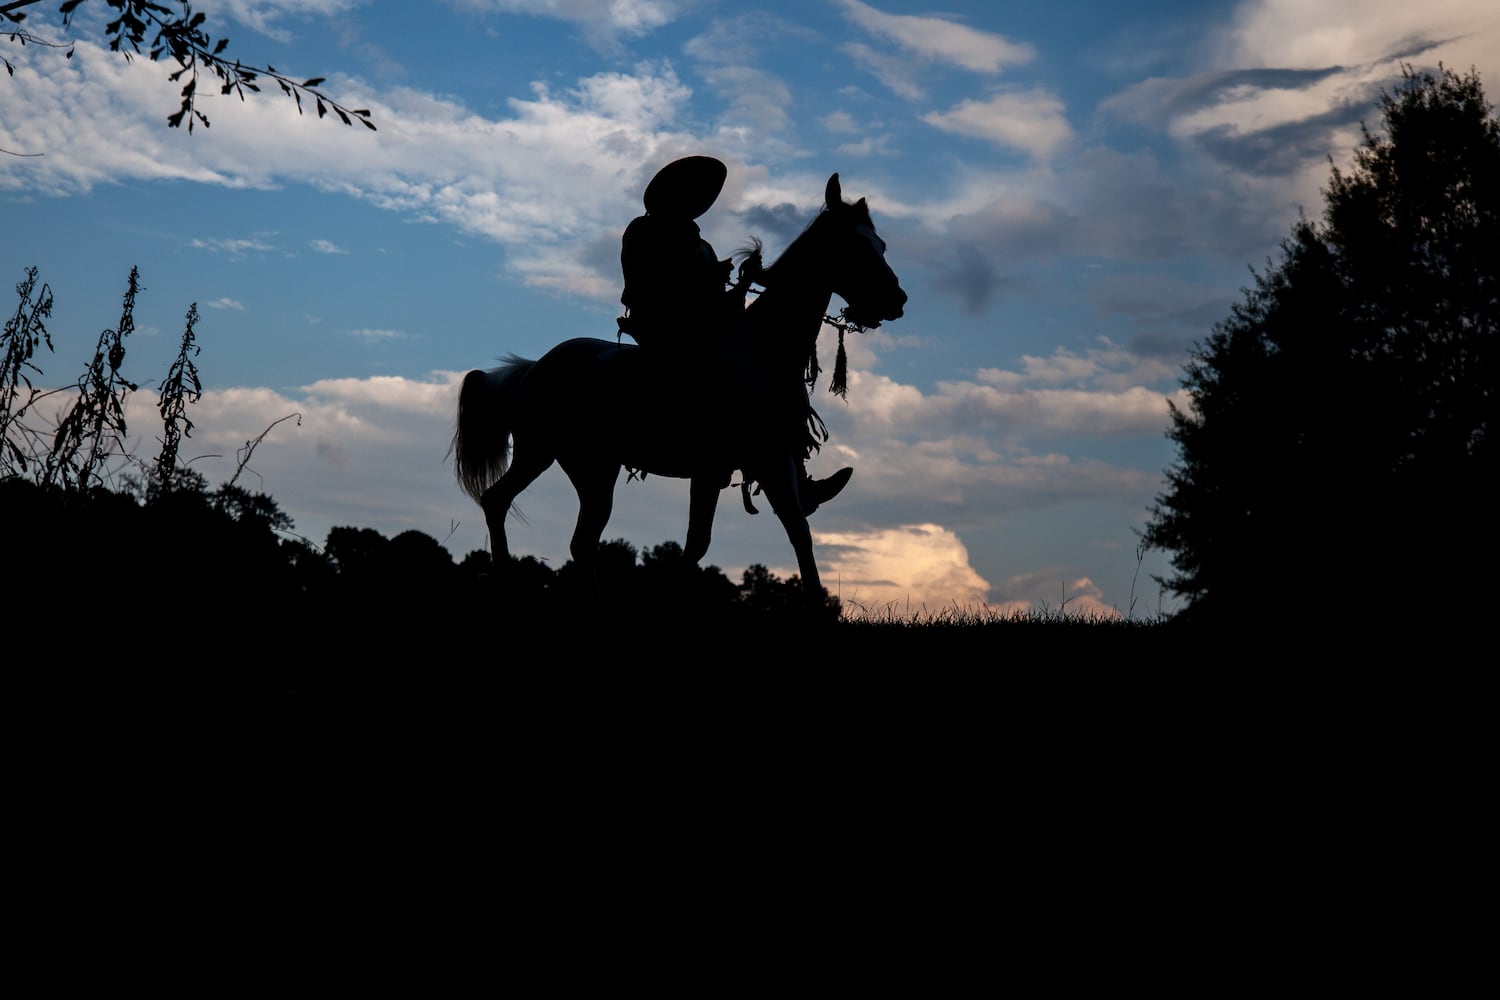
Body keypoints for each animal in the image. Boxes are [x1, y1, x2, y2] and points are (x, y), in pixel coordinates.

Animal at [450, 172, 906, 605]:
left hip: (571, 462)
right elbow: (699, 545)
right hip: (568, 461)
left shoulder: (772, 460)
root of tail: (531, 371)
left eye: (881, 243)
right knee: (543, 522)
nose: (897, 300)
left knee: (538, 520)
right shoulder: (723, 467)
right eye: (855, 246)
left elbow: (796, 531)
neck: (762, 350)